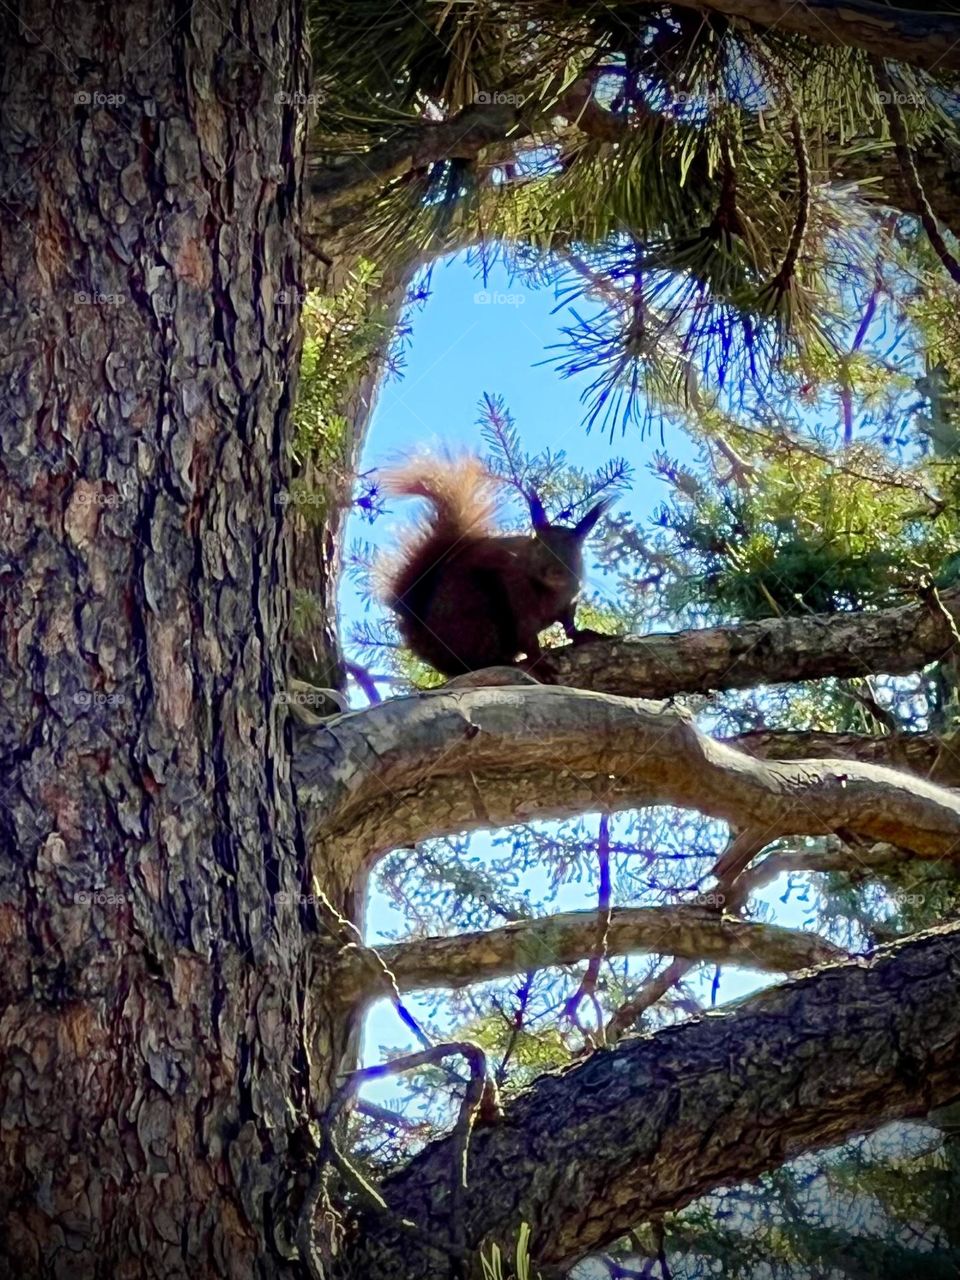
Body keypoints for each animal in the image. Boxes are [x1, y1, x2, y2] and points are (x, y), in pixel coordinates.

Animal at [378, 458, 609, 680]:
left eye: (577, 548)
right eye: (537, 542)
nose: (555, 571)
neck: (553, 591)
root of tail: (426, 644)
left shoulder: (570, 601)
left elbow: (569, 626)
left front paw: (583, 634)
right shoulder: (516, 591)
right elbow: (527, 635)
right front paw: (540, 663)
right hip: (476, 615)